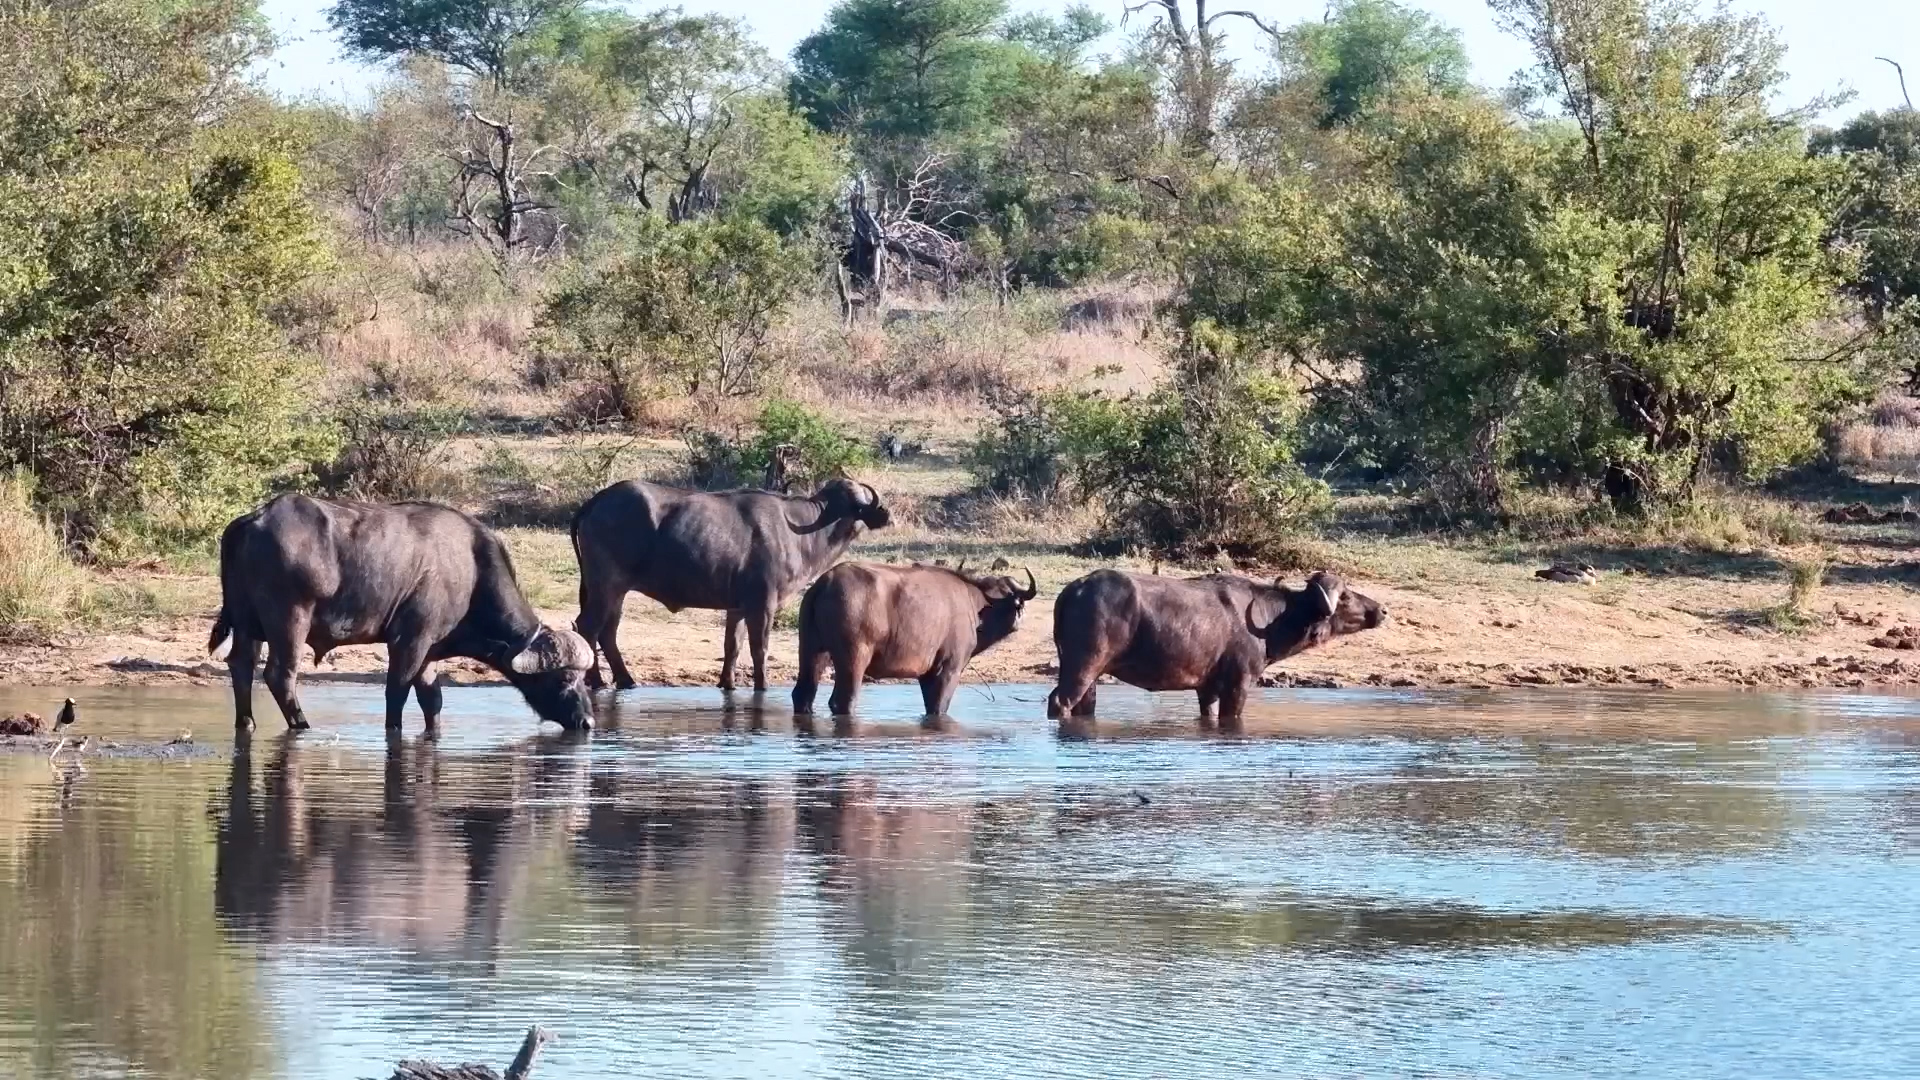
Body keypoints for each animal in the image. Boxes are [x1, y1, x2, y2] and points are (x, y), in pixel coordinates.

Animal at [209, 495, 595, 733]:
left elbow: (432, 700)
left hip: (247, 626)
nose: (588, 723)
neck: (470, 570)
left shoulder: (430, 654)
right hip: (289, 623)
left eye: (583, 678)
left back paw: (246, 723)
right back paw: (302, 724)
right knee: (280, 675)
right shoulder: (409, 641)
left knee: (241, 666)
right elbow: (396, 691)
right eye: (563, 678)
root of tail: (252, 521)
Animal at [571, 476, 891, 693]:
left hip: (615, 591)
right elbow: (759, 647)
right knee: (589, 626)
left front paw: (728, 683)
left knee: (607, 631)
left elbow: (732, 646)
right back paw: (596, 680)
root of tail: (596, 501)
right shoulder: (763, 605)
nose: (885, 513)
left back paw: (625, 680)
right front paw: (762, 685)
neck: (800, 532)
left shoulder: (736, 608)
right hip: (606, 585)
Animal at [793, 562, 1038, 717]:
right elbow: (939, 706)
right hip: (853, 658)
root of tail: (825, 582)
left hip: (811, 651)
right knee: (844, 700)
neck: (976, 605)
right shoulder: (949, 668)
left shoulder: (926, 674)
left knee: (803, 694)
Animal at [1046, 570, 1384, 723]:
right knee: (1059, 701)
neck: (1267, 620)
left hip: (1090, 675)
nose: (1381, 610)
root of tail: (1073, 591)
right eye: (1346, 597)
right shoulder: (1239, 684)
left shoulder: (1206, 688)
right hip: (1083, 666)